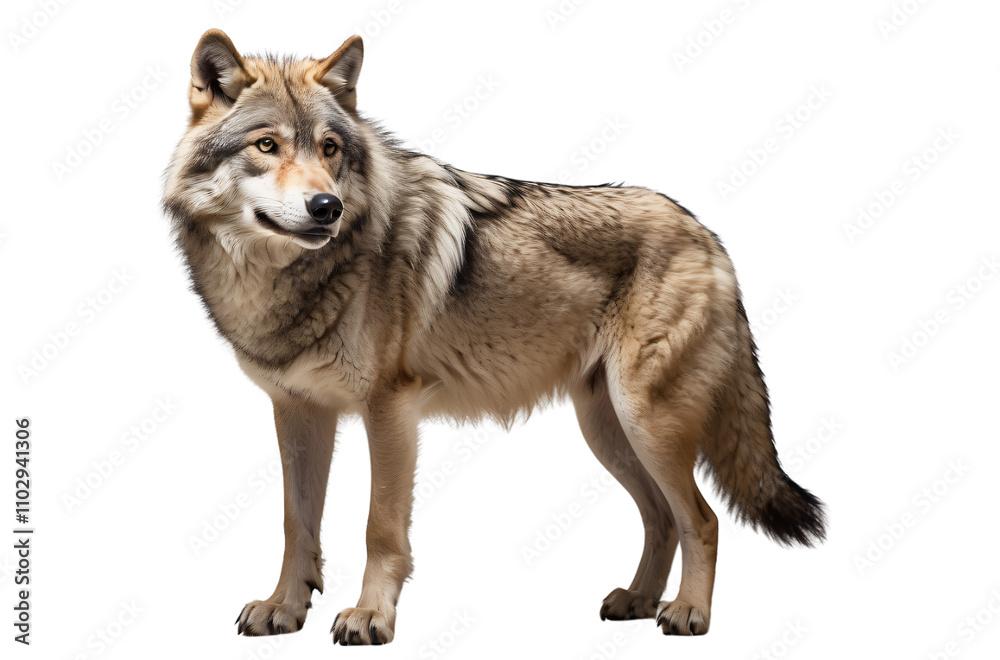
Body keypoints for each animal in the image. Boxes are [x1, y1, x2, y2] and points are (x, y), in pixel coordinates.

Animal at [163, 29, 826, 645]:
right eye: (266, 145)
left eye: (329, 148)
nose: (326, 207)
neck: (286, 281)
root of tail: (708, 233)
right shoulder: (297, 411)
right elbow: (295, 523)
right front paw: (284, 607)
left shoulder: (390, 408)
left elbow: (380, 527)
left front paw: (371, 617)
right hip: (608, 431)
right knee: (662, 517)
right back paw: (637, 600)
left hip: (646, 423)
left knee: (703, 520)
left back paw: (689, 613)